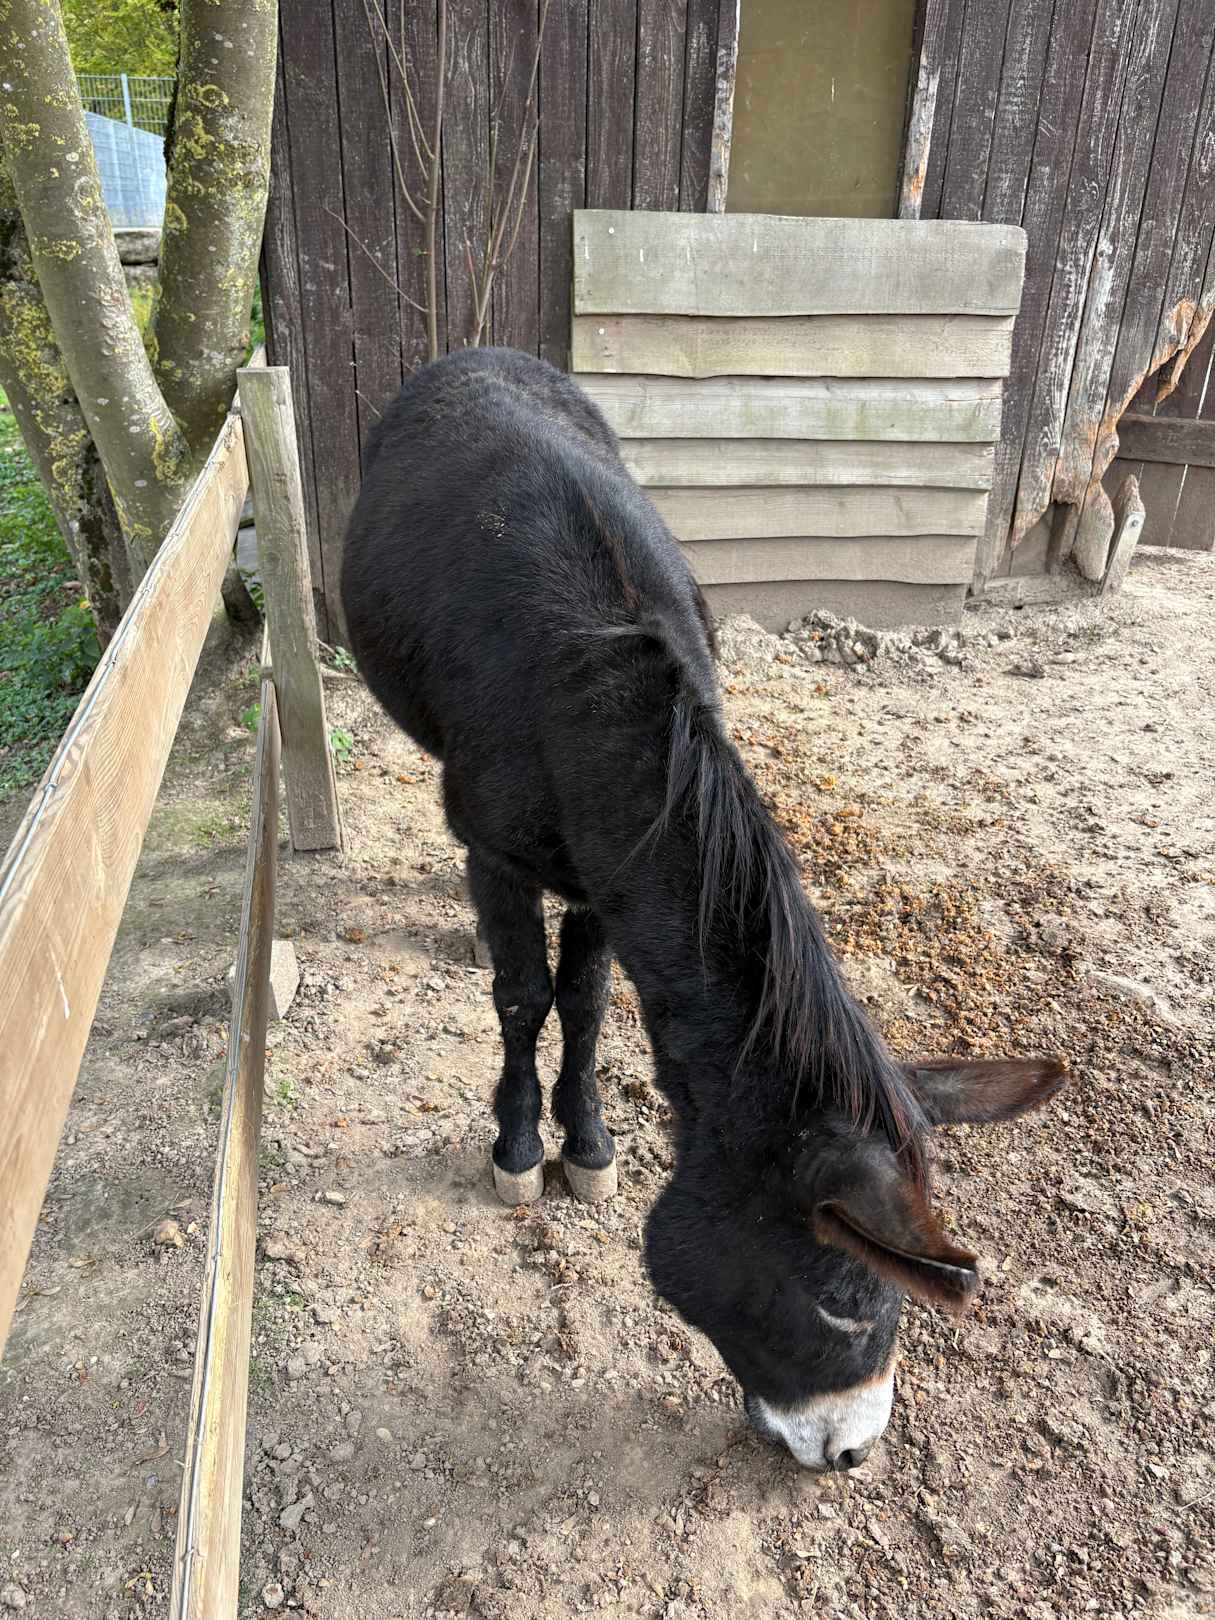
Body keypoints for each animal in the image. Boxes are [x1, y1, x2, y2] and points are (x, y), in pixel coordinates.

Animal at [340, 346, 1067, 1472]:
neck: (591, 688)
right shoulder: (508, 853)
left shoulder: (607, 873)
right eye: (846, 1304)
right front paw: (519, 1149)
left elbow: (587, 1000)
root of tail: (479, 354)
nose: (852, 1456)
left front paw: (588, 1145)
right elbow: (523, 997)